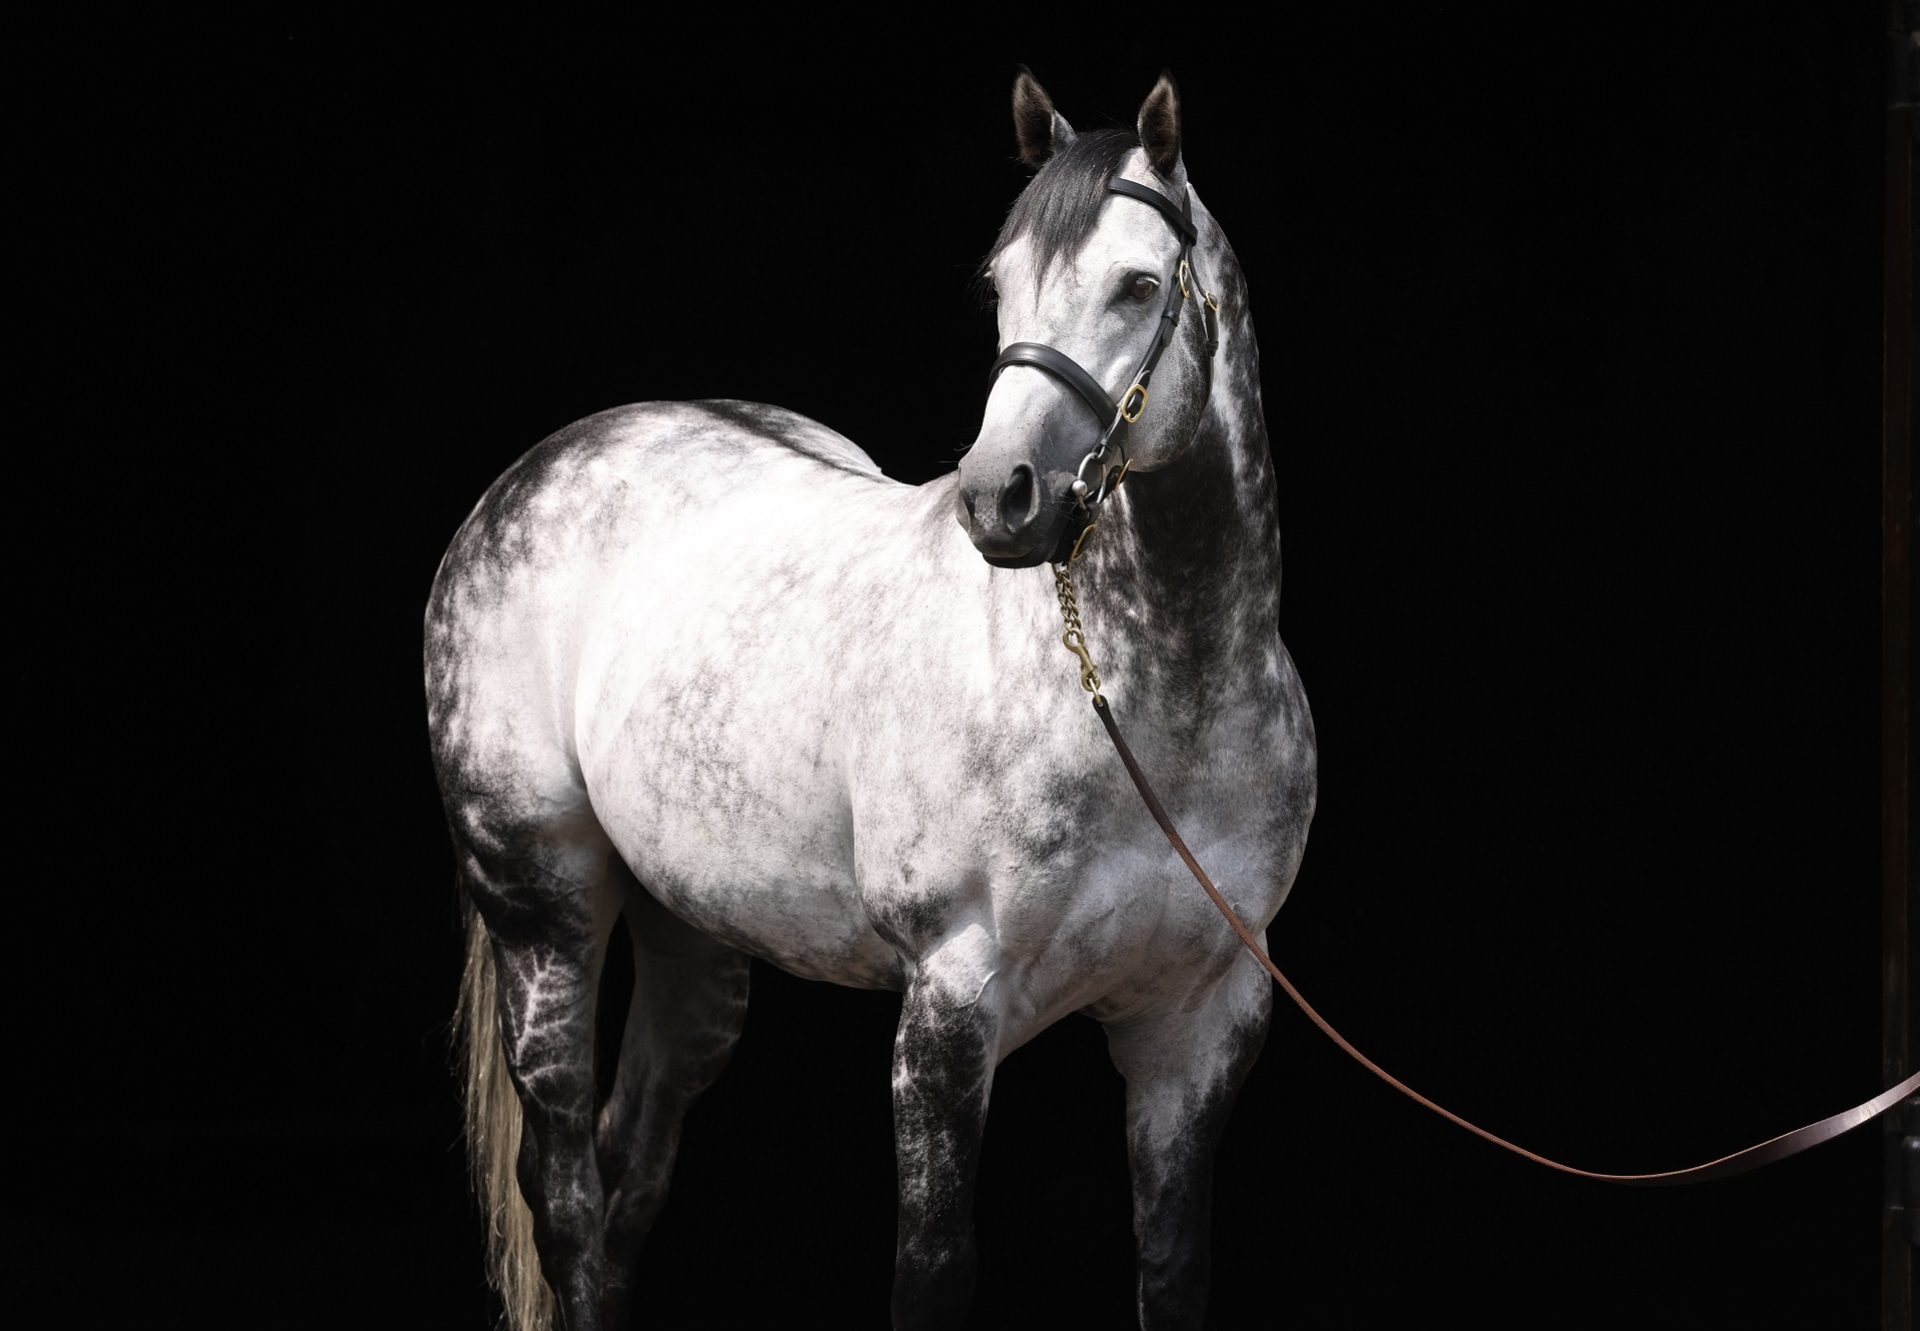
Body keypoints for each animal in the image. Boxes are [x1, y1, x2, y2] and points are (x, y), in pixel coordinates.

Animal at [422, 72, 1320, 1329]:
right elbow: (932, 1276)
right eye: (998, 283)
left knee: (626, 1172)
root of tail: (535, 469)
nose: (1001, 499)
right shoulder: (948, 1008)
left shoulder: (1200, 1020)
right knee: (564, 1200)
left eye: (1141, 285)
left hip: (695, 932)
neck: (1154, 715)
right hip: (540, 911)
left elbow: (1174, 1272)